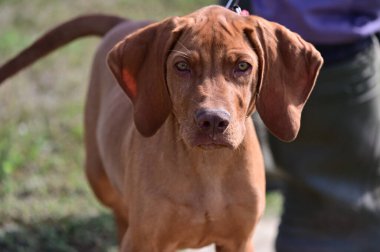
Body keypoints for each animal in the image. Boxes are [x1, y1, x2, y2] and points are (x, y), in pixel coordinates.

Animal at [0, 4, 322, 251]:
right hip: (98, 175)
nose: (213, 121)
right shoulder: (144, 240)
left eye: (243, 66)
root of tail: (126, 23)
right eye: (182, 66)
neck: (207, 167)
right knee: (119, 211)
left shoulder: (239, 241)